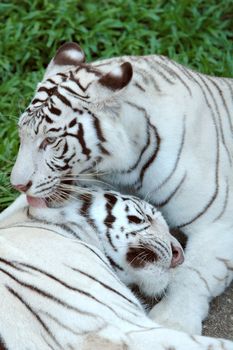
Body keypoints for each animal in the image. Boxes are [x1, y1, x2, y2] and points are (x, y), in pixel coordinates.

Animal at [8, 41, 233, 334]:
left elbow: (192, 274)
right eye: (21, 134)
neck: (126, 166)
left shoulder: (218, 223)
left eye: (50, 140)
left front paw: (173, 322)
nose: (17, 184)